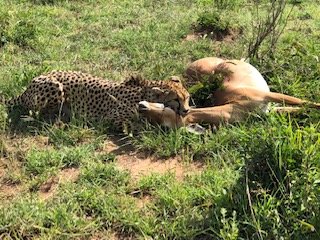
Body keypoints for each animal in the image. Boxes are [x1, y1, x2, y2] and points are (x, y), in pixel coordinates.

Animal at [1, 70, 190, 128]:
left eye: (187, 98)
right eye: (176, 100)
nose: (187, 110)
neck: (144, 92)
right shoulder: (112, 118)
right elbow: (137, 124)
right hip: (55, 87)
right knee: (39, 113)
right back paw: (61, 119)